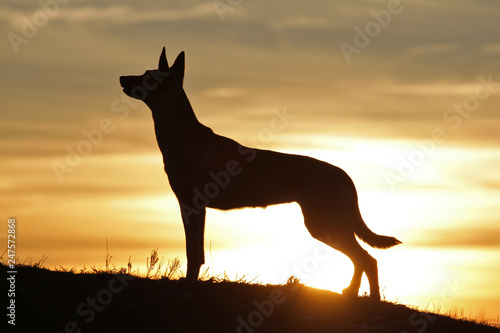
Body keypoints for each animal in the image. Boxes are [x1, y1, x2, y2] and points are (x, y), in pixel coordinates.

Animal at [119, 48, 400, 300]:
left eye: (148, 76)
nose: (122, 78)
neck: (180, 132)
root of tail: (342, 173)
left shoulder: (191, 205)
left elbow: (192, 253)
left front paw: (188, 285)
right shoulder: (196, 208)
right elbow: (196, 253)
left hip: (324, 225)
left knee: (368, 259)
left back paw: (372, 299)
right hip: (327, 225)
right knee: (361, 259)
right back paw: (351, 292)